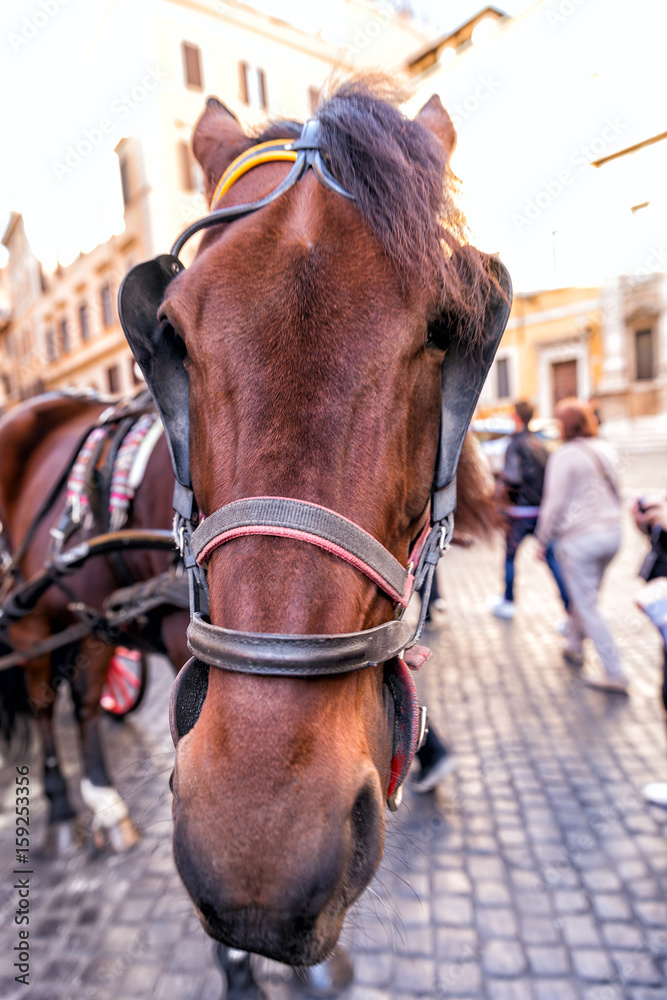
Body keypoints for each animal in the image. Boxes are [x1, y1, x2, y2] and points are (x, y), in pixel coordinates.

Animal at [0, 391, 190, 852]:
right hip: (31, 622)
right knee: (43, 703)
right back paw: (60, 804)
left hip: (93, 621)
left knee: (85, 701)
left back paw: (104, 800)